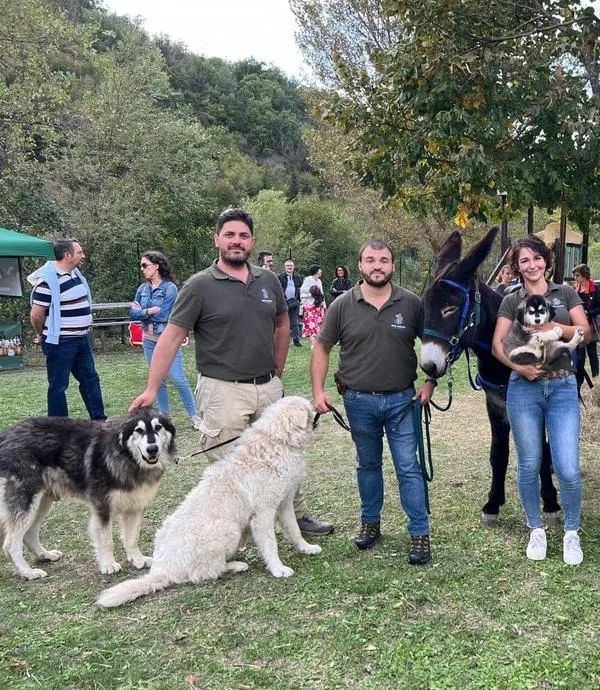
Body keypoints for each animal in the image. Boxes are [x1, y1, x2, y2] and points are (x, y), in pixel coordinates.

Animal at [0, 408, 175, 580]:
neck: (126, 457)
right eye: (139, 430)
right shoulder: (102, 507)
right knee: (10, 544)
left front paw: (137, 559)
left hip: (42, 503)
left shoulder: (135, 506)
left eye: (158, 427)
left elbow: (132, 537)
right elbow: (106, 539)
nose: (152, 449)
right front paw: (108, 564)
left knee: (29, 534)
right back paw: (27, 572)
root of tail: (5, 434)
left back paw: (45, 555)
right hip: (27, 502)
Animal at [97, 396, 321, 607]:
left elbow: (295, 530)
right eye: (310, 409)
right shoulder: (263, 514)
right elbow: (270, 544)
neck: (277, 441)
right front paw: (278, 569)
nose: (320, 410)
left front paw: (306, 548)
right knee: (202, 573)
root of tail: (162, 568)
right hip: (229, 529)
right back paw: (235, 566)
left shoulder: (284, 504)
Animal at [419, 226, 560, 525]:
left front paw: (551, 502)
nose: (428, 366)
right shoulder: (494, 403)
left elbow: (541, 451)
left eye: (450, 307)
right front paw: (493, 503)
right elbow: (498, 453)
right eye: (425, 305)